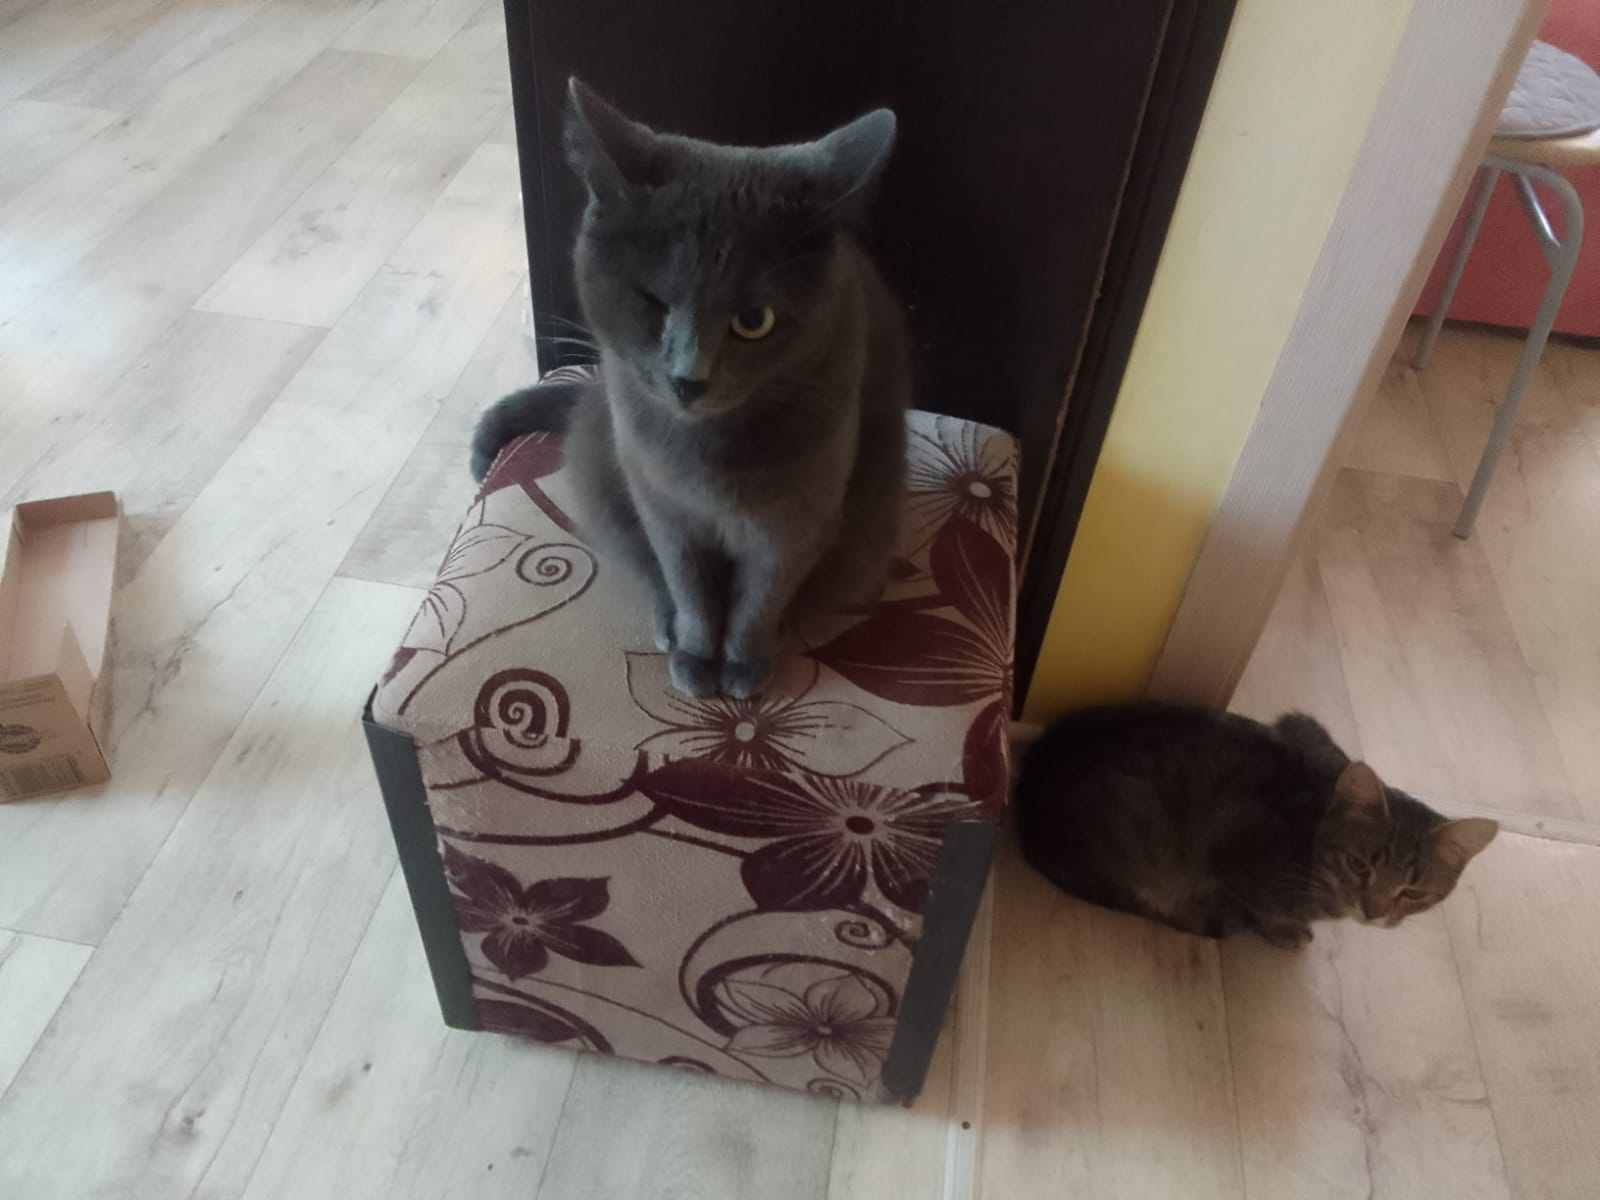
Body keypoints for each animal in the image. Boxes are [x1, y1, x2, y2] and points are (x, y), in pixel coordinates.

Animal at [472, 79, 911, 700]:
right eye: (653, 302)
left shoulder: (799, 517)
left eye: (754, 320)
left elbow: (761, 597)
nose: (688, 377)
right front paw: (698, 656)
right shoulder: (662, 504)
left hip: (868, 531)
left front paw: (744, 664)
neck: (707, 453)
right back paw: (668, 630)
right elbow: (687, 584)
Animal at [1014, 703, 1498, 948]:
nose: (1373, 912)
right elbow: (1260, 907)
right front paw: (1283, 929)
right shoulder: (1230, 847)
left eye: (1413, 892)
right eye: (1360, 866)